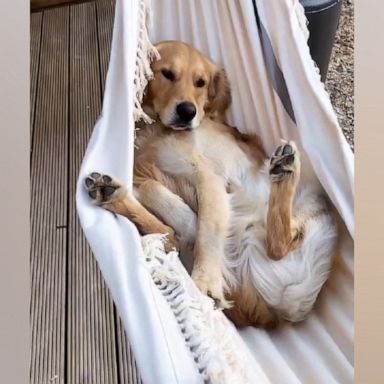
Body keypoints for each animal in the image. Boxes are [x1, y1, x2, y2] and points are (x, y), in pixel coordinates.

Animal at [85, 39, 338, 328]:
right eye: (167, 74)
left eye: (201, 82)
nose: (187, 111)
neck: (158, 131)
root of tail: (271, 314)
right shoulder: (156, 171)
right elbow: (163, 199)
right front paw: (185, 219)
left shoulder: (206, 176)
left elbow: (206, 231)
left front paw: (205, 280)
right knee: (172, 238)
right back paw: (110, 194)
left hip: (314, 200)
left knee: (280, 243)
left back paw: (286, 169)